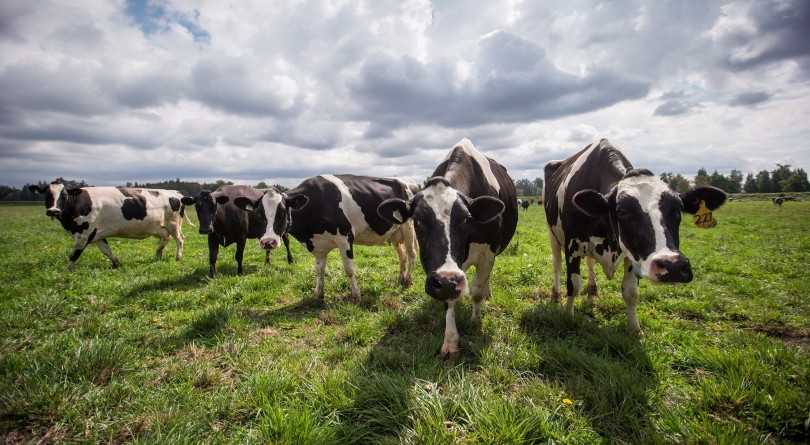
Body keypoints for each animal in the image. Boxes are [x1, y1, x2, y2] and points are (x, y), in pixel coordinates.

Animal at [28, 179, 193, 268]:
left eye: (64, 195)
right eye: (47, 194)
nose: (53, 211)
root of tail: (176, 193)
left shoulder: (83, 234)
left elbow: (74, 255)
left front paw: (66, 271)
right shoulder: (97, 235)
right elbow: (107, 251)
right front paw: (117, 264)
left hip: (173, 224)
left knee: (179, 239)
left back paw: (178, 257)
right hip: (160, 226)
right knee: (166, 238)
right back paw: (158, 252)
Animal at [230, 173, 414, 302]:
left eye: (282, 211)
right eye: (258, 213)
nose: (268, 242)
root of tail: (409, 183)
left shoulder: (345, 237)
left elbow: (349, 270)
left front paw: (356, 295)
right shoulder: (318, 244)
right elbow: (319, 270)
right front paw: (318, 294)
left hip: (408, 227)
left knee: (411, 254)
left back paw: (408, 281)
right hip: (395, 233)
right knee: (402, 255)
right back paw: (400, 279)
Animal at [376, 137, 516, 360]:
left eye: (466, 219)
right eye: (417, 220)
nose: (448, 280)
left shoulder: (488, 253)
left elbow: (476, 290)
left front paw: (476, 321)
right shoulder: (442, 277)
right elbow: (449, 301)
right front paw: (450, 343)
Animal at [544, 139, 724, 330]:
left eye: (677, 210)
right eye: (622, 211)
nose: (673, 266)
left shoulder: (632, 254)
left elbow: (631, 292)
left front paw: (633, 328)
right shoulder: (572, 245)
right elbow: (574, 284)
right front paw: (568, 316)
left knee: (590, 263)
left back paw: (592, 288)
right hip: (552, 234)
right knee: (557, 264)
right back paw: (555, 294)